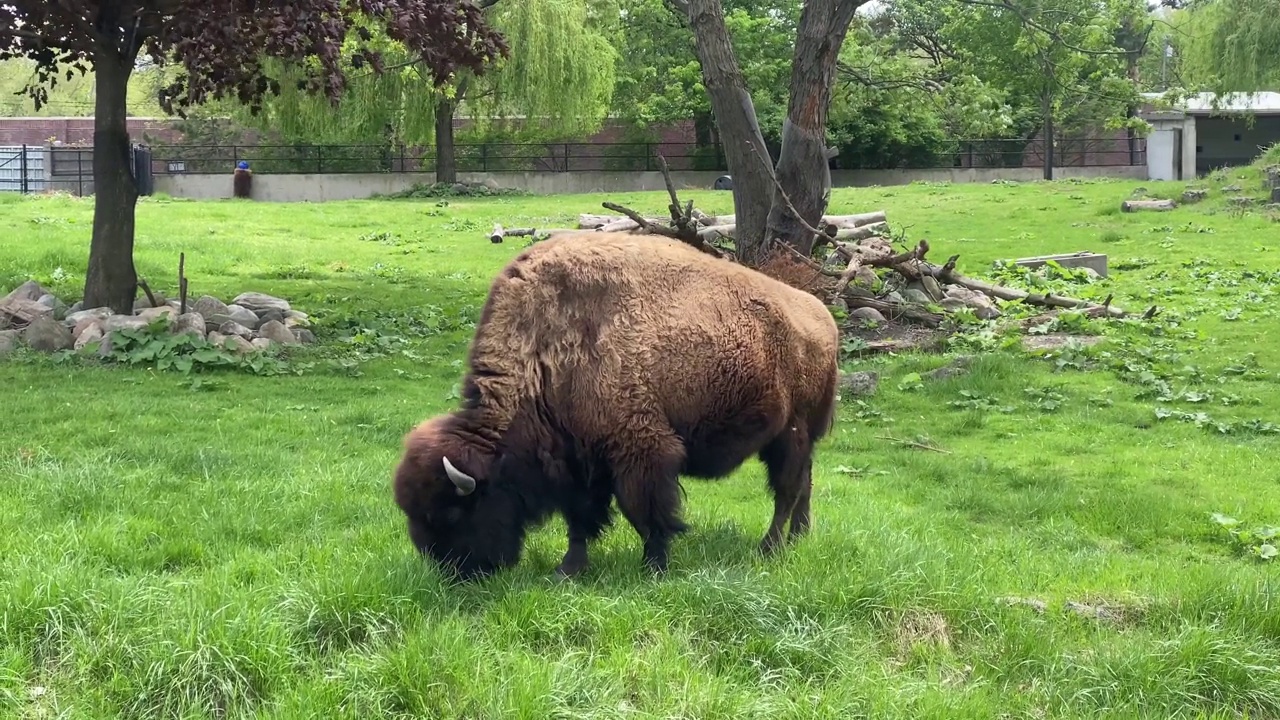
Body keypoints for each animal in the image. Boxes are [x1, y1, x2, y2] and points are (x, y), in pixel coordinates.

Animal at [394, 229, 844, 576]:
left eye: (452, 513)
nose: (455, 574)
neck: (544, 351)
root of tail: (822, 316)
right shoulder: (578, 460)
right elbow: (580, 518)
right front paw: (569, 569)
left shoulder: (639, 449)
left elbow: (645, 511)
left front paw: (655, 566)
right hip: (794, 438)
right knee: (804, 482)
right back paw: (799, 537)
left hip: (791, 433)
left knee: (786, 489)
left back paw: (770, 547)